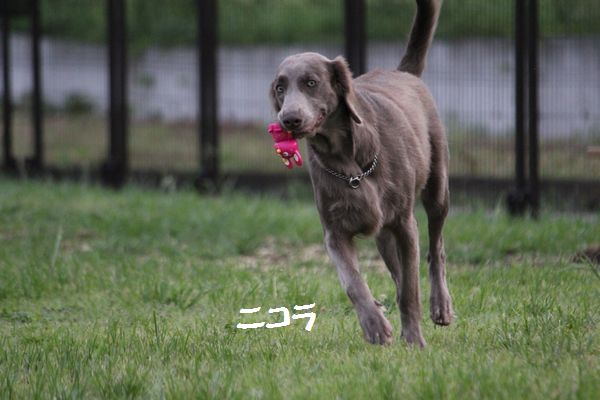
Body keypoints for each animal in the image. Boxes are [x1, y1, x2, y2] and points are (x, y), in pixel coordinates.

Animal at [270, 0, 452, 346]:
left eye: (311, 82)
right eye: (280, 88)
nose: (289, 119)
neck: (347, 162)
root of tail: (403, 72)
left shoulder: (405, 224)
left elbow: (412, 288)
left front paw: (414, 340)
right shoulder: (335, 232)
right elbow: (353, 282)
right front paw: (375, 325)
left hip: (437, 188)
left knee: (435, 249)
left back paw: (441, 306)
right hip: (383, 234)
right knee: (397, 273)